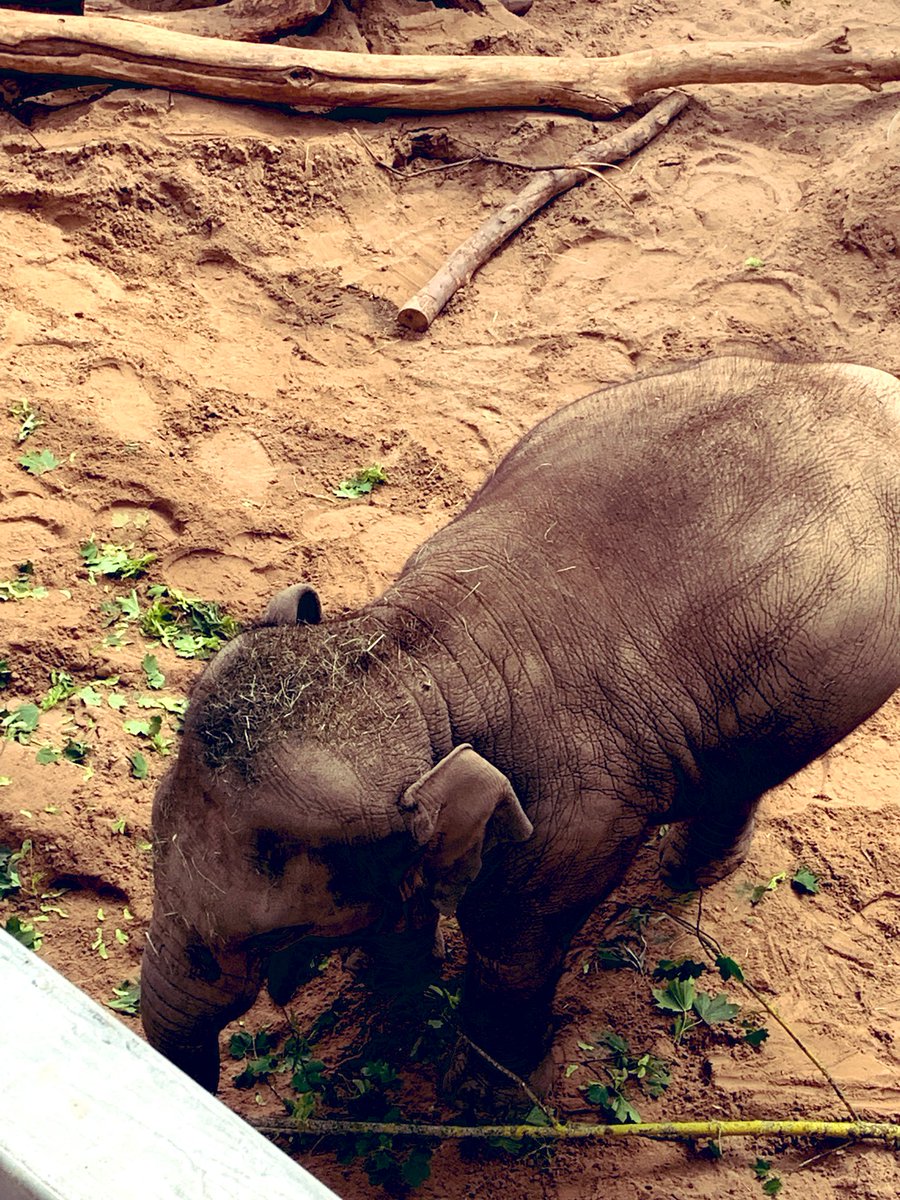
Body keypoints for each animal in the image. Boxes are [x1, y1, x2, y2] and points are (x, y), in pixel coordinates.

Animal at [141, 356, 900, 1096]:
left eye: (268, 937)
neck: (415, 661)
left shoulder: (575, 823)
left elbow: (509, 940)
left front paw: (484, 1101)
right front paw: (396, 1005)